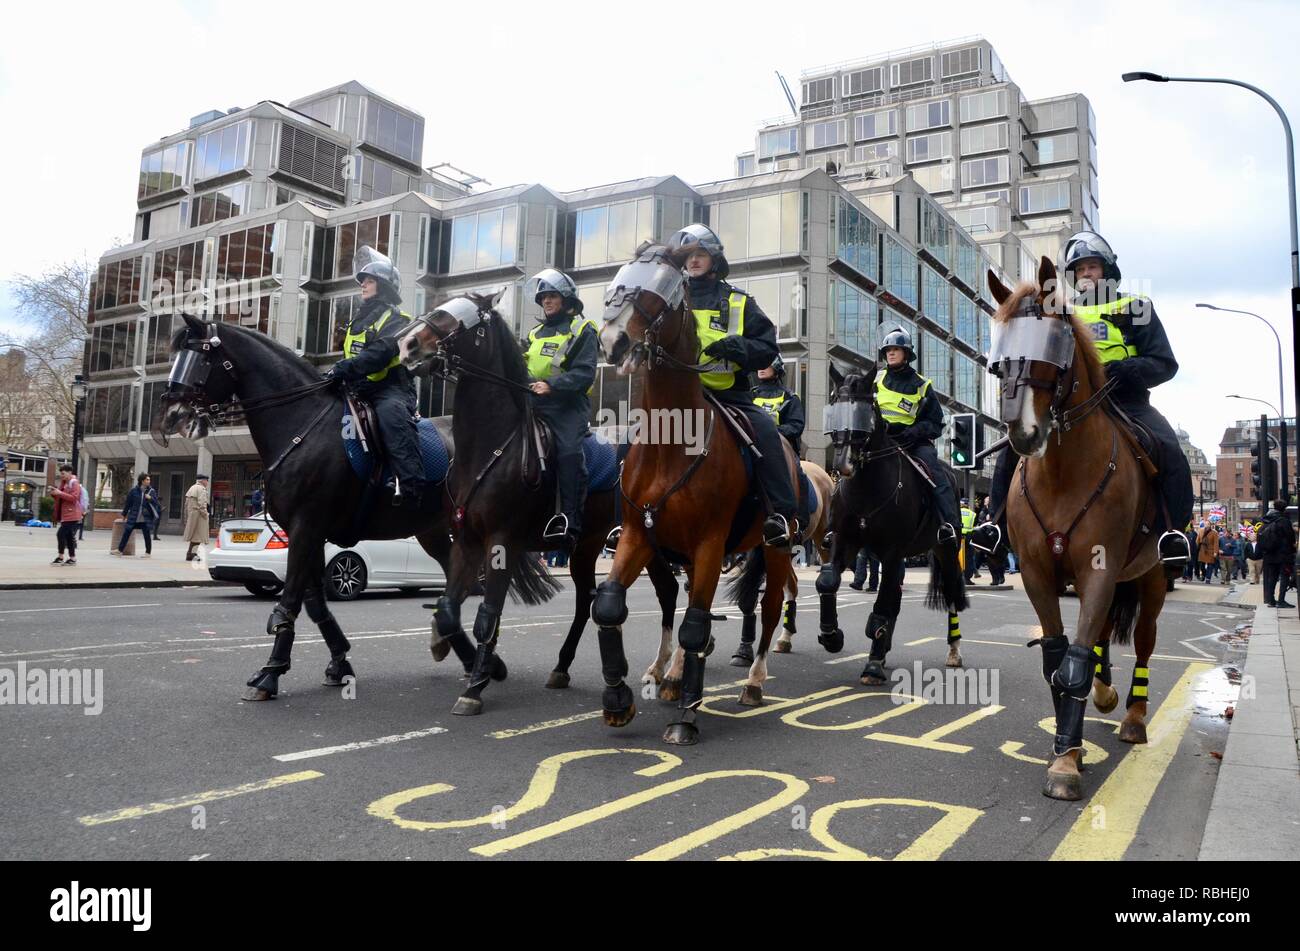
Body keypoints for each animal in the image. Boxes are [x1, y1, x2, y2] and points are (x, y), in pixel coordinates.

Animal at [395, 293, 681, 717]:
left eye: (459, 317)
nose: (407, 344)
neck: (489, 447)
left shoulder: (501, 542)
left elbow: (487, 616)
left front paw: (476, 686)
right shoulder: (466, 540)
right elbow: (447, 607)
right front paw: (467, 657)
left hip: (644, 544)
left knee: (668, 591)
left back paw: (664, 669)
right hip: (588, 545)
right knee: (586, 601)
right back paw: (563, 667)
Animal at [592, 242, 795, 743]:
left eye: (661, 290)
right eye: (620, 278)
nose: (613, 341)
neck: (671, 445)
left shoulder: (709, 544)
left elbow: (696, 625)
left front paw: (686, 716)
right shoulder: (639, 535)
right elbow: (610, 604)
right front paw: (618, 700)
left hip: (776, 549)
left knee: (770, 608)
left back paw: (753, 683)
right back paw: (673, 676)